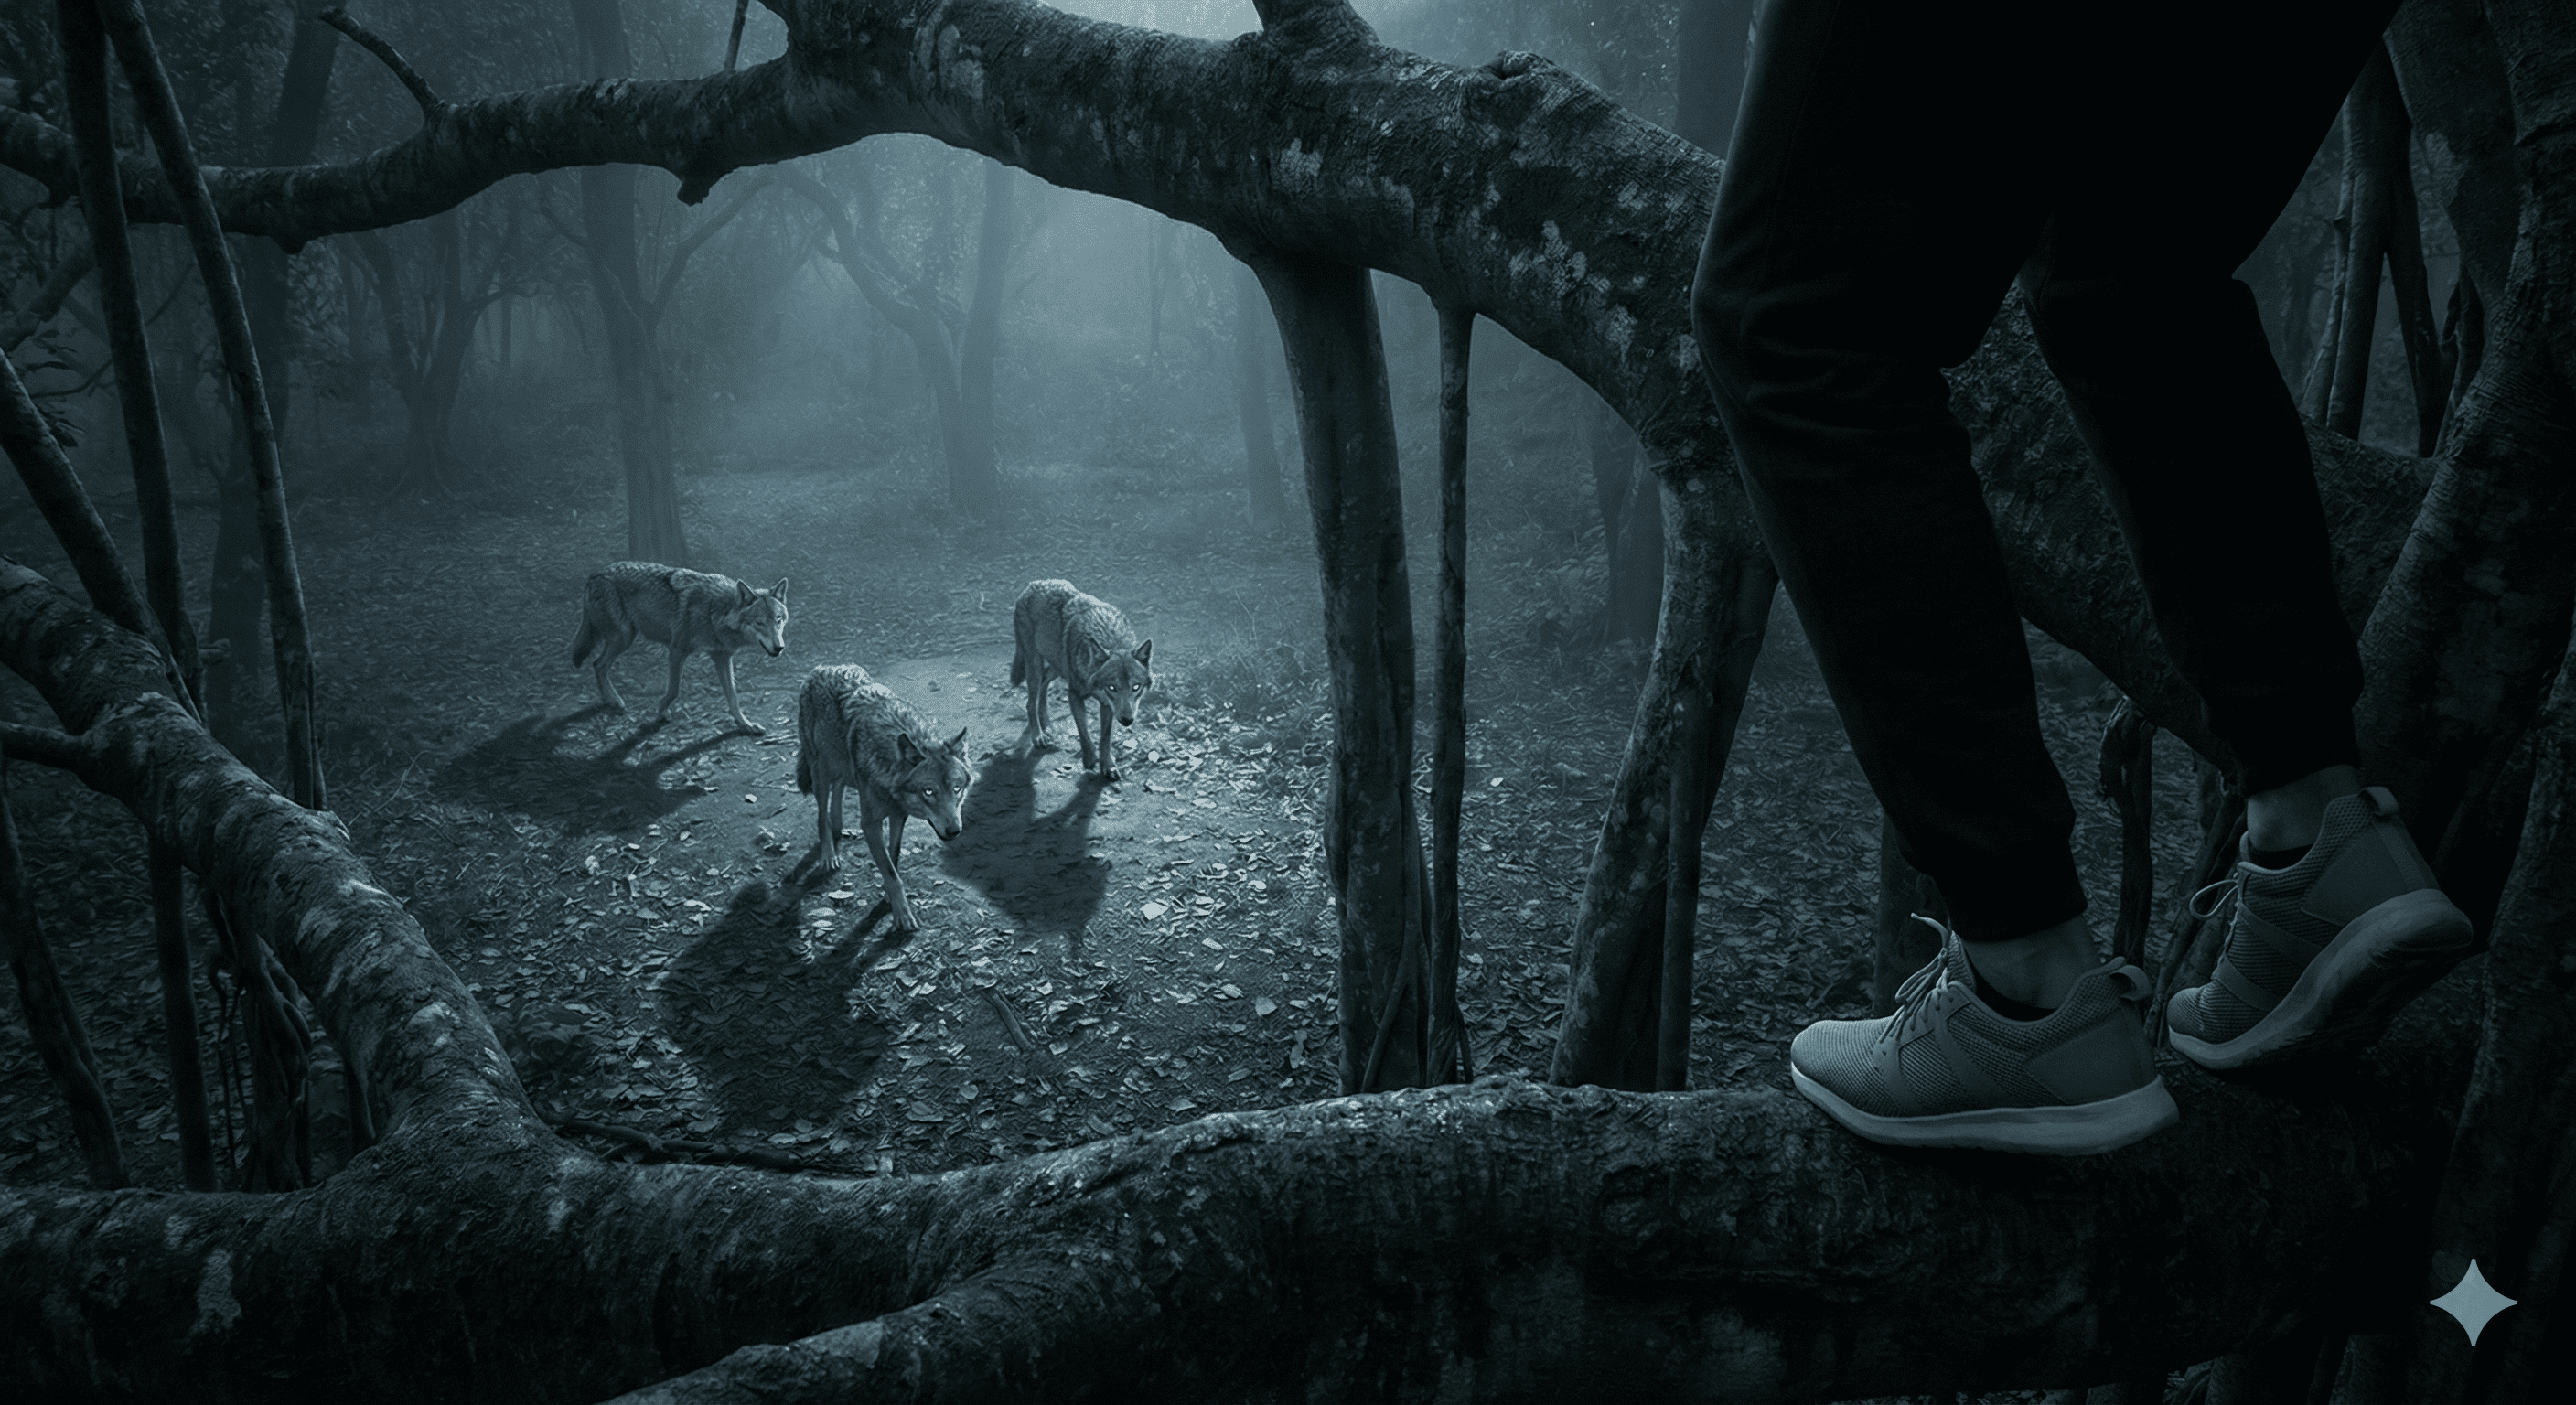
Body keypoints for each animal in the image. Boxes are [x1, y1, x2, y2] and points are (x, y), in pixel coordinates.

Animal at [569, 562, 790, 733]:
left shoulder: (722, 657)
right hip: (623, 638)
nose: (779, 647)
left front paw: (745, 725)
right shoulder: (676, 650)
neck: (714, 612)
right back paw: (615, 701)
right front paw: (661, 712)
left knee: (598, 664)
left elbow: (733, 695)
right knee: (598, 664)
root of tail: (595, 574)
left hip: (624, 638)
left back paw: (609, 700)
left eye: (778, 620)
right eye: (759, 623)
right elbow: (674, 689)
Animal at [794, 664, 974, 933]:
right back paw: (829, 855)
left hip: (842, 768)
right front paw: (903, 917)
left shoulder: (899, 814)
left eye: (957, 789)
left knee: (839, 789)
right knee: (821, 814)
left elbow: (894, 856)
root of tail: (822, 668)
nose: (954, 831)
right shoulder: (870, 823)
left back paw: (838, 826)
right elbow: (891, 873)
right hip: (820, 771)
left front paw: (888, 897)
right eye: (929, 792)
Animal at [1010, 578, 1154, 782]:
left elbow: (1105, 738)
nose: (1127, 720)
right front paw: (1089, 760)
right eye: (1112, 687)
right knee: (1030, 701)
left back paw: (1048, 725)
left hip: (1057, 667)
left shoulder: (1107, 705)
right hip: (1035, 665)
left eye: (1136, 687)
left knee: (1044, 686)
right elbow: (1083, 732)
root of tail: (1033, 584)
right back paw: (1039, 736)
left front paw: (1108, 766)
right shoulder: (1074, 695)